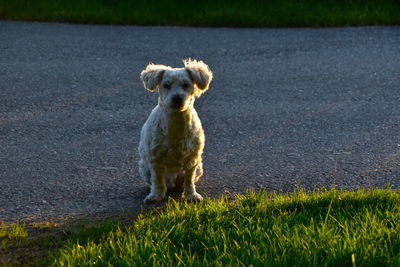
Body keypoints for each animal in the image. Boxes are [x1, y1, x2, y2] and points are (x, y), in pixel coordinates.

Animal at [139, 59, 212, 205]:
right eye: (166, 85)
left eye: (186, 85)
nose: (177, 98)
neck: (176, 122)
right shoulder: (155, 158)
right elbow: (157, 180)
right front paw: (155, 196)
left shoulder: (192, 158)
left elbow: (189, 179)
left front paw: (191, 195)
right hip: (144, 168)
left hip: (199, 167)